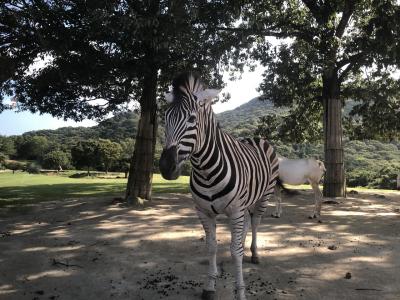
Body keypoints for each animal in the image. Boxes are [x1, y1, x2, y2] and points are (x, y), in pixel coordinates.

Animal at [159, 73, 278, 300]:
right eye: (164, 119)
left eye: (192, 119)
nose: (167, 168)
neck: (206, 171)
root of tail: (256, 137)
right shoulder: (203, 211)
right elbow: (212, 246)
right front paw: (209, 286)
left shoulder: (235, 210)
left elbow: (234, 252)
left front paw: (240, 292)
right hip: (246, 202)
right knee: (246, 224)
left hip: (264, 196)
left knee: (255, 223)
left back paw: (254, 253)